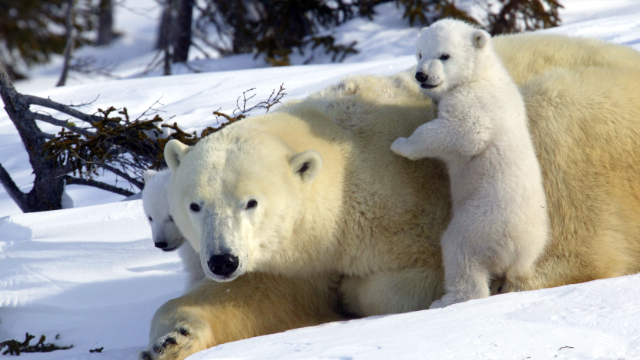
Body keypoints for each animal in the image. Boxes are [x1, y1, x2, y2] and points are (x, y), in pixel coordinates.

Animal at [140, 33, 640, 360]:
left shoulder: (403, 206)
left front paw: (356, 292)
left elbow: (406, 275)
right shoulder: (292, 254)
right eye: (194, 205)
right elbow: (265, 294)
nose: (222, 260)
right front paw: (173, 336)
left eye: (251, 202)